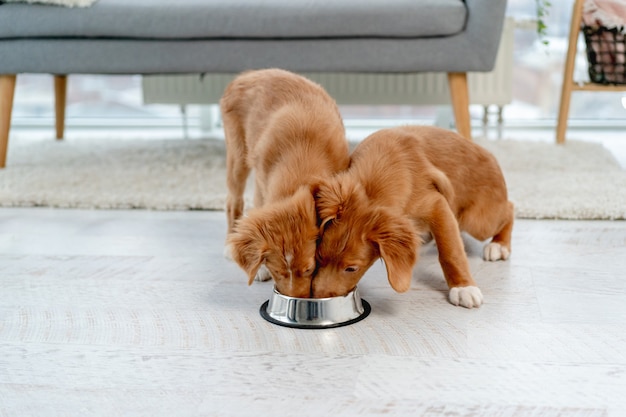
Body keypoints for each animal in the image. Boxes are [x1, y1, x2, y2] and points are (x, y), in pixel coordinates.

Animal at [221, 68, 348, 298]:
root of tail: (246, 76)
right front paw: (259, 268)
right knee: (232, 201)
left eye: (309, 269)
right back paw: (228, 244)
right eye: (276, 271)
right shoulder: (262, 181)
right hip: (238, 154)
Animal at [312, 125, 512, 308]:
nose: (317, 297)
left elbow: (450, 251)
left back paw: (500, 245)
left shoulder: (437, 204)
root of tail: (489, 155)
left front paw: (463, 287)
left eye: (351, 268)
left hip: (477, 221)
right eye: (319, 256)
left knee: (509, 209)